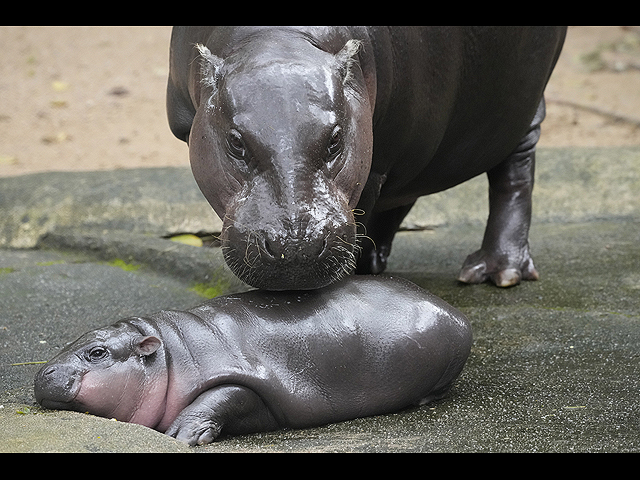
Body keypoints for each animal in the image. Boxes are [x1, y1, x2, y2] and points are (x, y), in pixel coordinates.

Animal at [37, 278, 472, 446]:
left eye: (97, 352)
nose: (43, 373)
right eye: (74, 340)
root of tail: (456, 312)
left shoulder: (248, 379)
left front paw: (181, 434)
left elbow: (223, 396)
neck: (170, 354)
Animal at [168, 26, 568, 288]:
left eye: (335, 139)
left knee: (515, 174)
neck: (277, 41)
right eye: (236, 142)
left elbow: (364, 208)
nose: (295, 245)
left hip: (521, 107)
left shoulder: (377, 160)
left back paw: (496, 272)